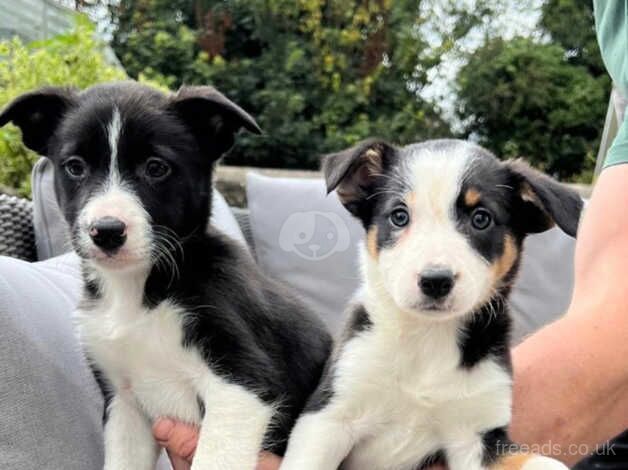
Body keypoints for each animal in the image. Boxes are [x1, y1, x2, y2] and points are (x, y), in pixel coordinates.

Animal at [0, 82, 332, 470]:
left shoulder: (242, 386)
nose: (107, 231)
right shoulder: (124, 403)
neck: (140, 290)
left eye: (156, 168)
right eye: (75, 167)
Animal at [282, 139, 580, 470]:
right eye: (399, 216)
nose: (435, 281)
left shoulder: (477, 435)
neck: (426, 337)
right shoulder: (329, 416)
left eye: (481, 218)